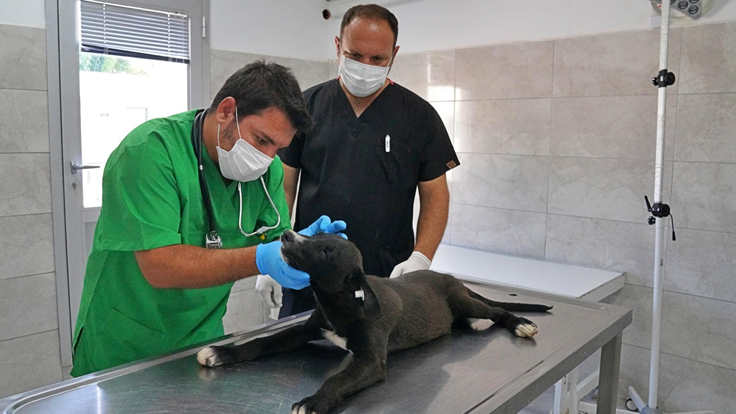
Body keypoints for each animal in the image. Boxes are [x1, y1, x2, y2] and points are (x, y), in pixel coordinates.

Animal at [197, 230, 552, 414]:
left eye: (327, 251)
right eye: (317, 233)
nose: (285, 234)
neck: (341, 304)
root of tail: (450, 278)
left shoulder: (370, 360)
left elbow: (337, 380)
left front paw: (313, 401)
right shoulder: (303, 330)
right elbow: (261, 342)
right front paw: (221, 352)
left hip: (462, 299)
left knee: (496, 311)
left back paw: (520, 323)